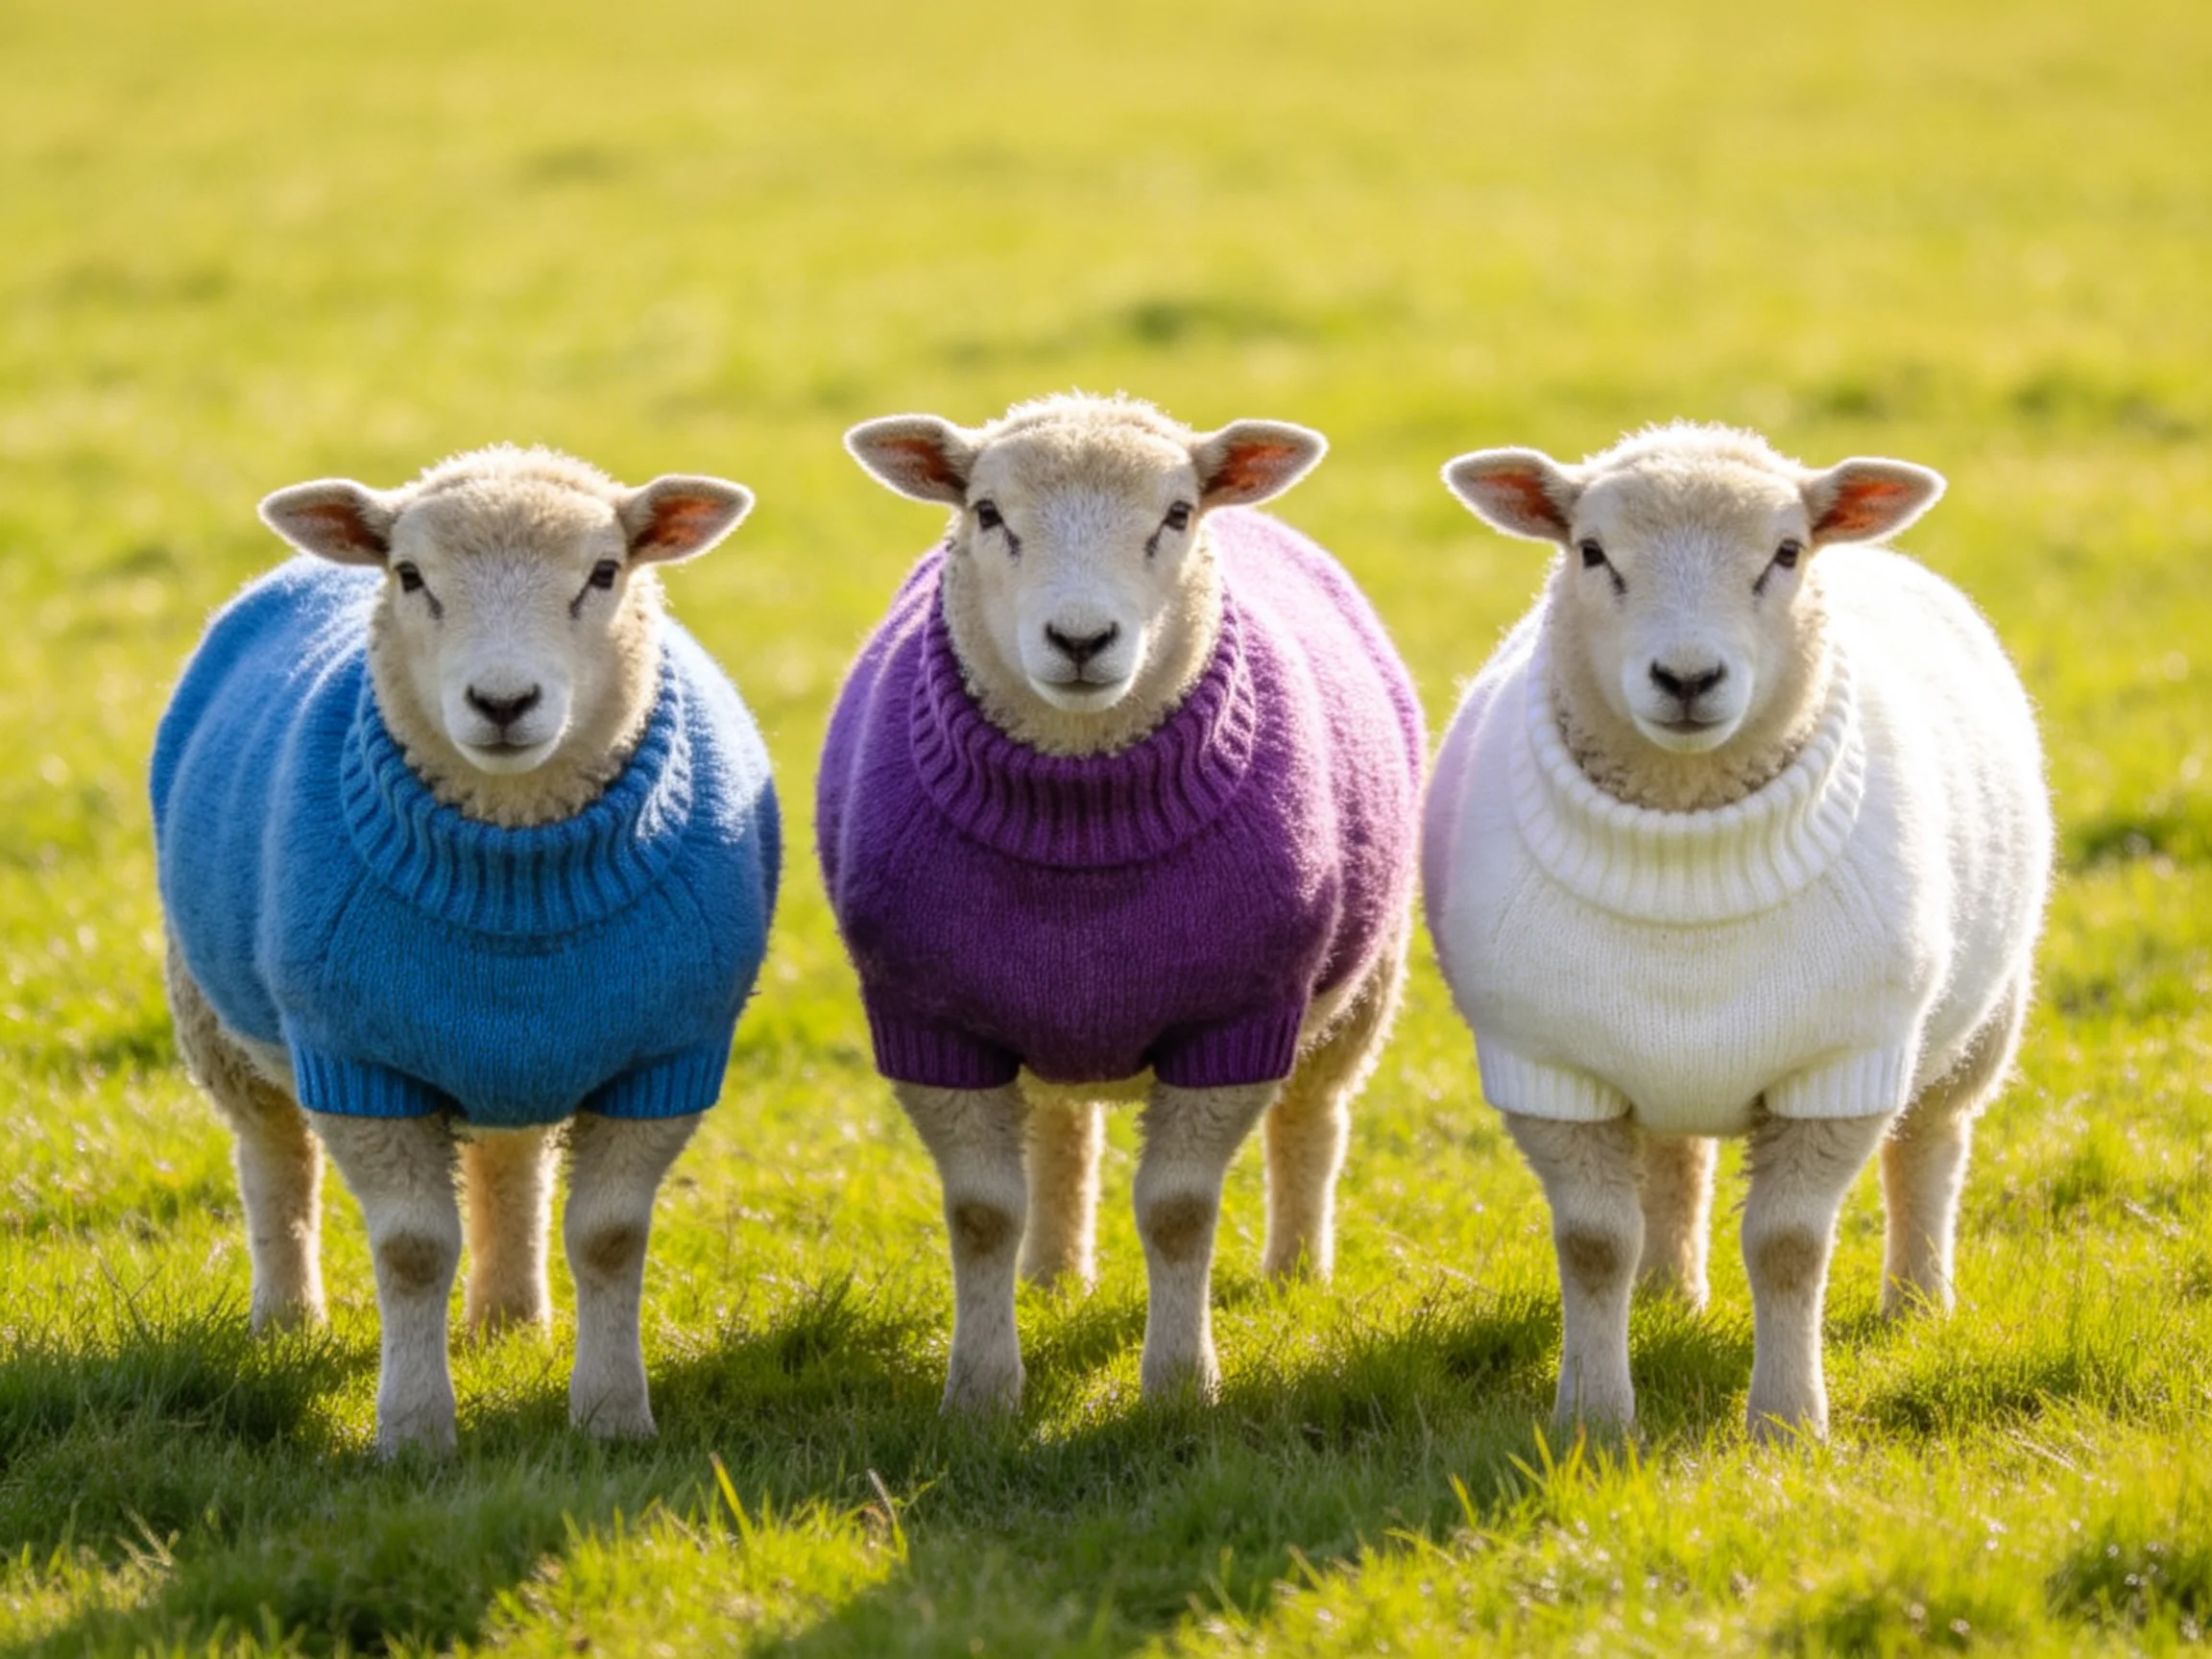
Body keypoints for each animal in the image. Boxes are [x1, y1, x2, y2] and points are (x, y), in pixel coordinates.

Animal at [150, 444, 780, 1456]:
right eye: (411, 576)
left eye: (605, 573)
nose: (503, 701)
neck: (516, 867)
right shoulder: (360, 1064)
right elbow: (412, 1252)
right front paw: (413, 1431)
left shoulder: (665, 1060)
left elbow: (608, 1238)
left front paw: (611, 1418)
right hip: (216, 1018)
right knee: (275, 1163)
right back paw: (287, 1325)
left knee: (509, 1161)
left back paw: (511, 1321)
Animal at [819, 392, 1425, 1409]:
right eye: (988, 513)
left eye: (1176, 515)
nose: (1079, 641)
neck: (1079, 813)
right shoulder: (931, 1024)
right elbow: (981, 1212)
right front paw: (981, 1393)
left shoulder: (1234, 1022)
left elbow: (1179, 1212)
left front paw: (1180, 1386)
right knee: (1062, 1131)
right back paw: (1053, 1276)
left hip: (1367, 981)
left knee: (1314, 1118)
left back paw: (1295, 1273)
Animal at [1422, 422, 2052, 1442]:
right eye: (1591, 552)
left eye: (1786, 554)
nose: (1687, 678)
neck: (1687, 842)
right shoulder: (1552, 1069)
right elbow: (1593, 1243)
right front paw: (1594, 1420)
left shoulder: (1838, 1068)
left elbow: (1789, 1246)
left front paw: (1788, 1423)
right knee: (1674, 1159)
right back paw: (1666, 1297)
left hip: (1981, 1022)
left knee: (1932, 1144)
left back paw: (1918, 1305)